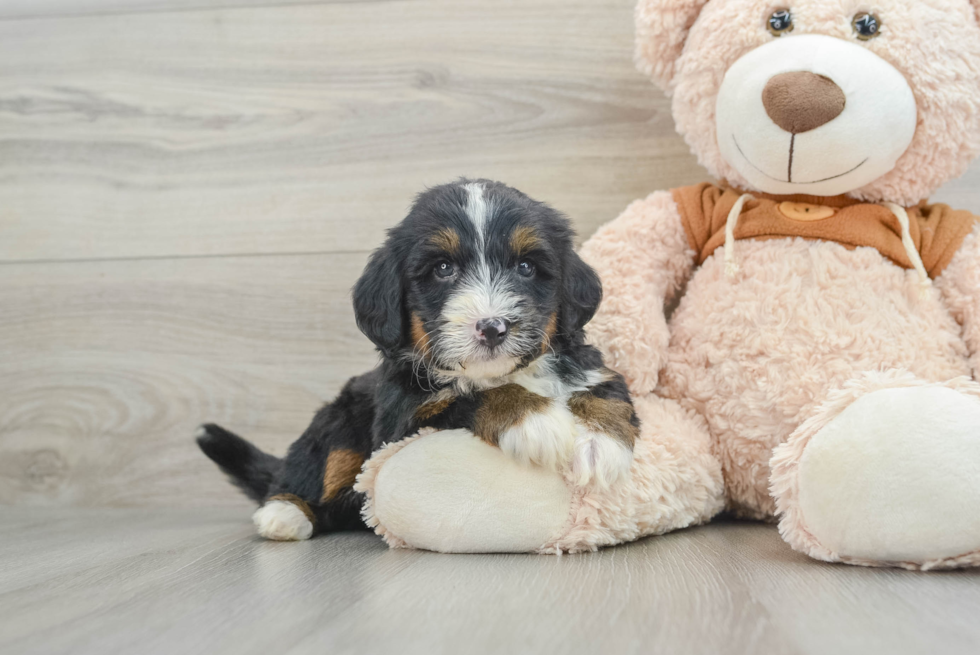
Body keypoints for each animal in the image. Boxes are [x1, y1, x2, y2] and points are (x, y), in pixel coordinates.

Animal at [200, 181, 644, 544]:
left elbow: (608, 391)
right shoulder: (404, 422)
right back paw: (283, 513)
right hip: (338, 422)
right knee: (315, 469)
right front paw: (535, 421)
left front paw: (600, 444)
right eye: (443, 269)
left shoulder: (591, 366)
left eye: (526, 267)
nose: (493, 327)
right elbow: (470, 397)